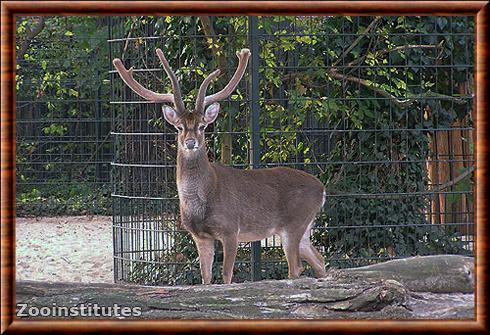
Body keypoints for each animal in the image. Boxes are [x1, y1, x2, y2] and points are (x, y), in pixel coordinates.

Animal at [113, 48, 328, 284]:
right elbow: (205, 277)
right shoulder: (199, 236)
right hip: (305, 227)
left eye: (202, 126)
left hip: (294, 223)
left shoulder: (231, 229)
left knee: (296, 268)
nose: (191, 142)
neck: (202, 199)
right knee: (320, 260)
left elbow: (226, 275)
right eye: (179, 127)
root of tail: (322, 189)